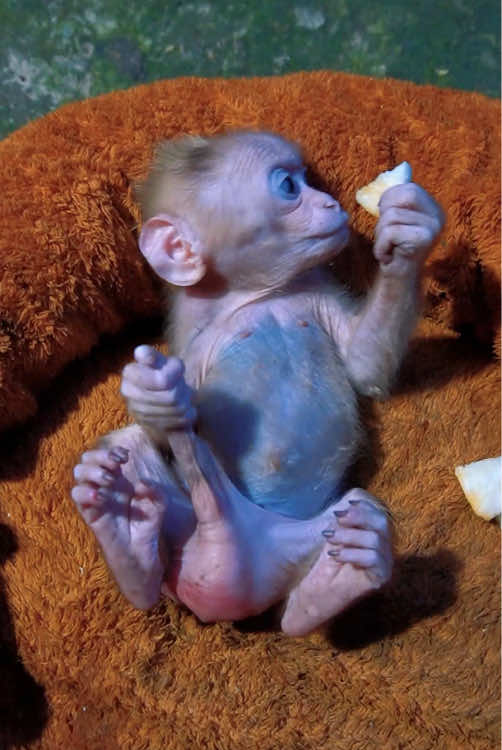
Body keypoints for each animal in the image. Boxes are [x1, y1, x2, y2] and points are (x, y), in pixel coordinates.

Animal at [71, 131, 444, 636]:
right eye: (289, 186)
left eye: (308, 179)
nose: (329, 201)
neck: (253, 298)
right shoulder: (194, 350)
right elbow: (163, 430)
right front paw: (151, 397)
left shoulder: (316, 292)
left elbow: (363, 366)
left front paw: (409, 235)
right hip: (186, 545)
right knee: (127, 448)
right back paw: (126, 540)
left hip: (307, 539)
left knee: (307, 595)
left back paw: (344, 573)